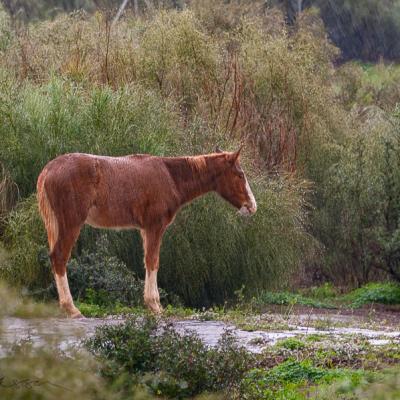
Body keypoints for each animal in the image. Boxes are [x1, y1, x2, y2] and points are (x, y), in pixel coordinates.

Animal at [36, 148, 256, 318]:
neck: (171, 176)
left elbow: (148, 261)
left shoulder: (145, 230)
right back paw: (71, 308)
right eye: (240, 175)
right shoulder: (154, 227)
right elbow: (153, 261)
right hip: (71, 223)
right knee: (59, 257)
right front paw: (154, 305)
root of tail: (49, 169)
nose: (252, 206)